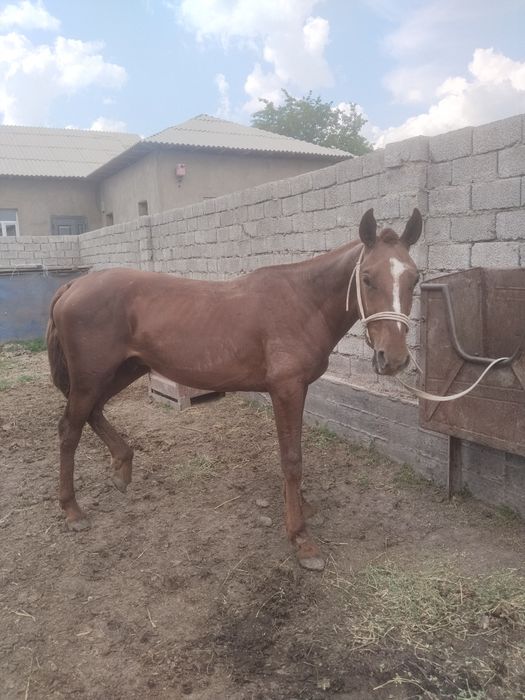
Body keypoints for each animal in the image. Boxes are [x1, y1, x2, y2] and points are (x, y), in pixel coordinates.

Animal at [47, 207, 422, 571]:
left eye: (415, 278)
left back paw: (122, 469)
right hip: (91, 377)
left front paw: (302, 508)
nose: (394, 358)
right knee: (69, 430)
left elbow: (294, 453)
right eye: (367, 278)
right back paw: (72, 510)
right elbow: (292, 458)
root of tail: (74, 285)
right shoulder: (286, 389)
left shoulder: (296, 390)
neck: (302, 302)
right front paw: (301, 538)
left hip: (124, 370)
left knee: (94, 412)